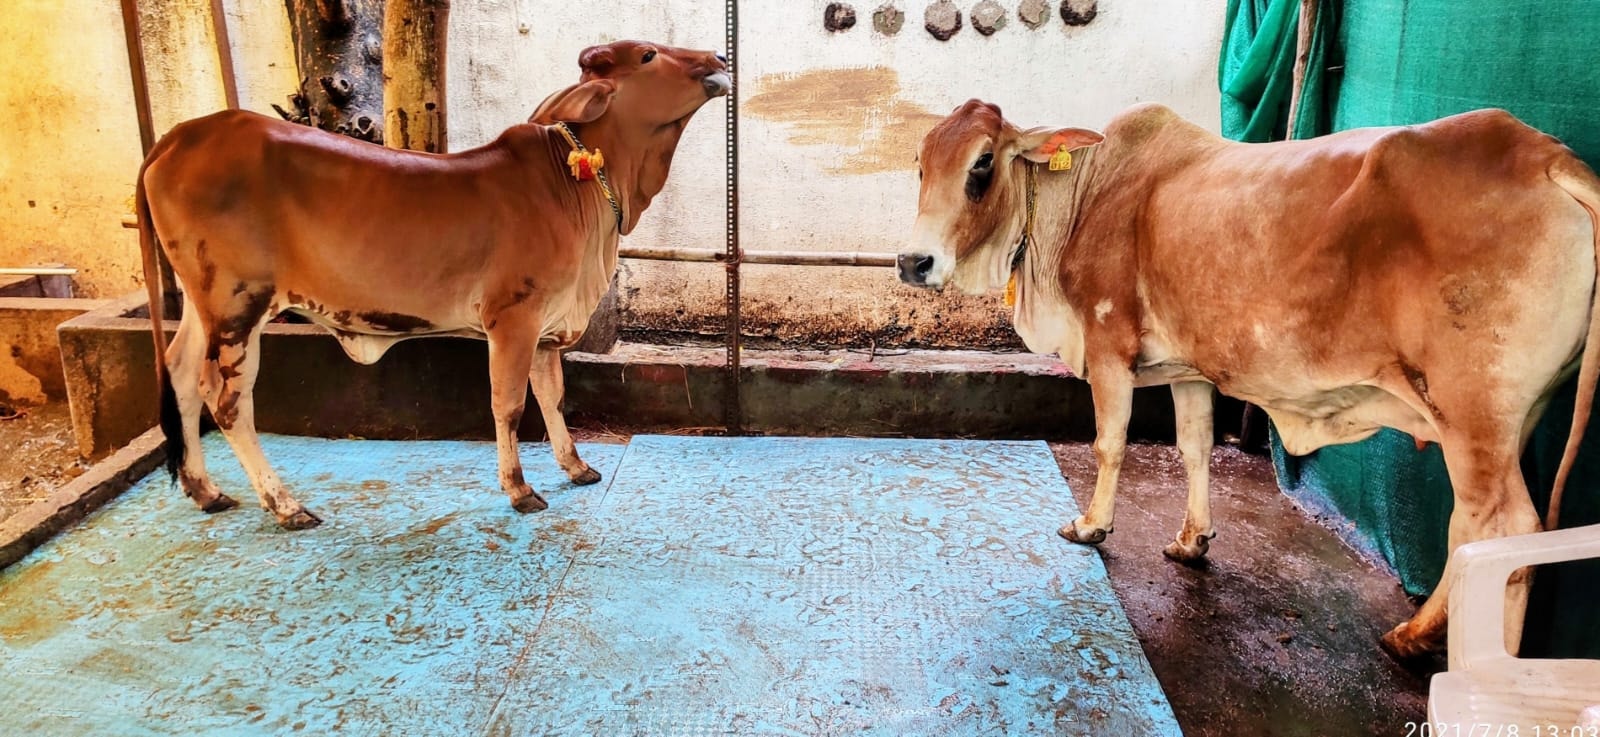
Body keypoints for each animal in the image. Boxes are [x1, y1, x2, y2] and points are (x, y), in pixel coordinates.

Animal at [135, 41, 729, 530]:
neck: (581, 186)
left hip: (203, 303)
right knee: (226, 400)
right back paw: (284, 505)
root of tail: (182, 135)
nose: (719, 57)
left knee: (181, 374)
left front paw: (576, 465)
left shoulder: (547, 325)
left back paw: (206, 490)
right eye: (649, 55)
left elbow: (553, 396)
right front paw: (519, 489)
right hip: (238, 303)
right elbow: (509, 404)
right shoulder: (513, 317)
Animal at [897, 99, 1600, 660]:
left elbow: (1109, 444)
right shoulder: (1188, 368)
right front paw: (1192, 541)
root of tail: (1547, 157)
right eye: (921, 162)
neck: (1081, 199)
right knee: (1475, 528)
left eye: (983, 164)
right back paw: (1414, 635)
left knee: (1505, 529)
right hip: (1510, 421)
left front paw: (1091, 526)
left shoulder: (1109, 344)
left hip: (1473, 411)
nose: (913, 261)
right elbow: (1195, 447)